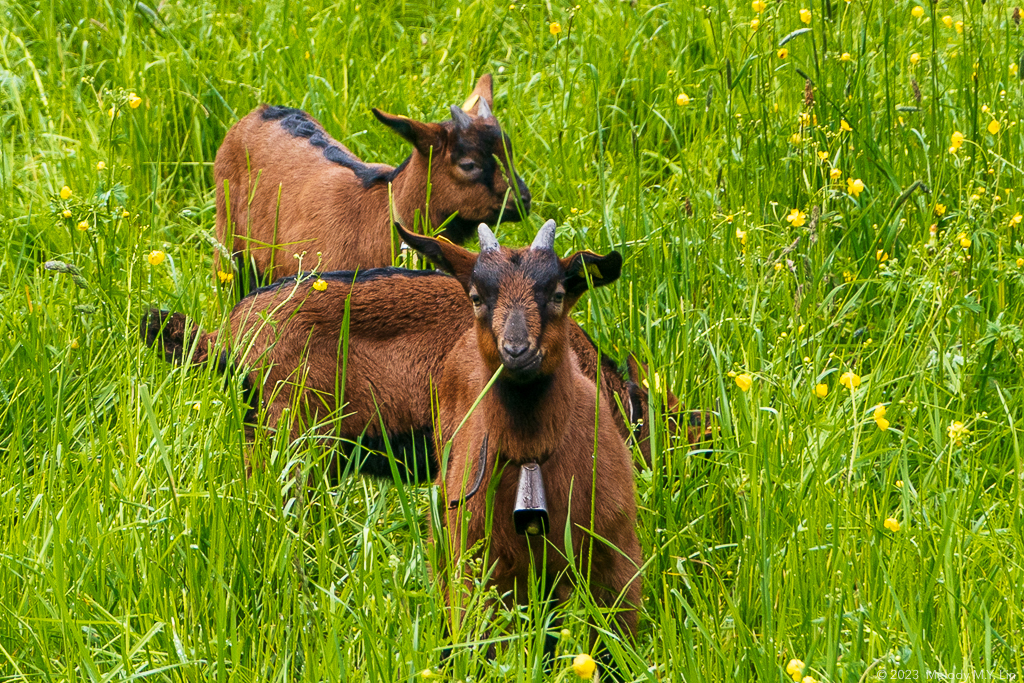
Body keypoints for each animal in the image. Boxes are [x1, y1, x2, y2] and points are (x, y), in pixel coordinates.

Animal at [211, 74, 532, 290]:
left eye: (509, 150)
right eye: (468, 164)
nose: (523, 200)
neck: (379, 216)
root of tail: (260, 111)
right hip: (228, 242)